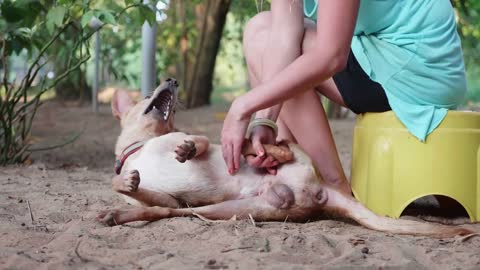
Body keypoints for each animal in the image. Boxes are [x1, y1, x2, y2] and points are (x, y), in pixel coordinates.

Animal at [99, 78, 474, 238]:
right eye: (146, 95)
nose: (172, 79)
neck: (143, 146)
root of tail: (322, 193)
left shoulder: (194, 136)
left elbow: (200, 141)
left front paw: (188, 150)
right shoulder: (170, 198)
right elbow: (135, 188)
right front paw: (125, 182)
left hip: (286, 154)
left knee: (273, 146)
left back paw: (255, 148)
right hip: (220, 211)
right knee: (162, 212)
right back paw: (116, 215)